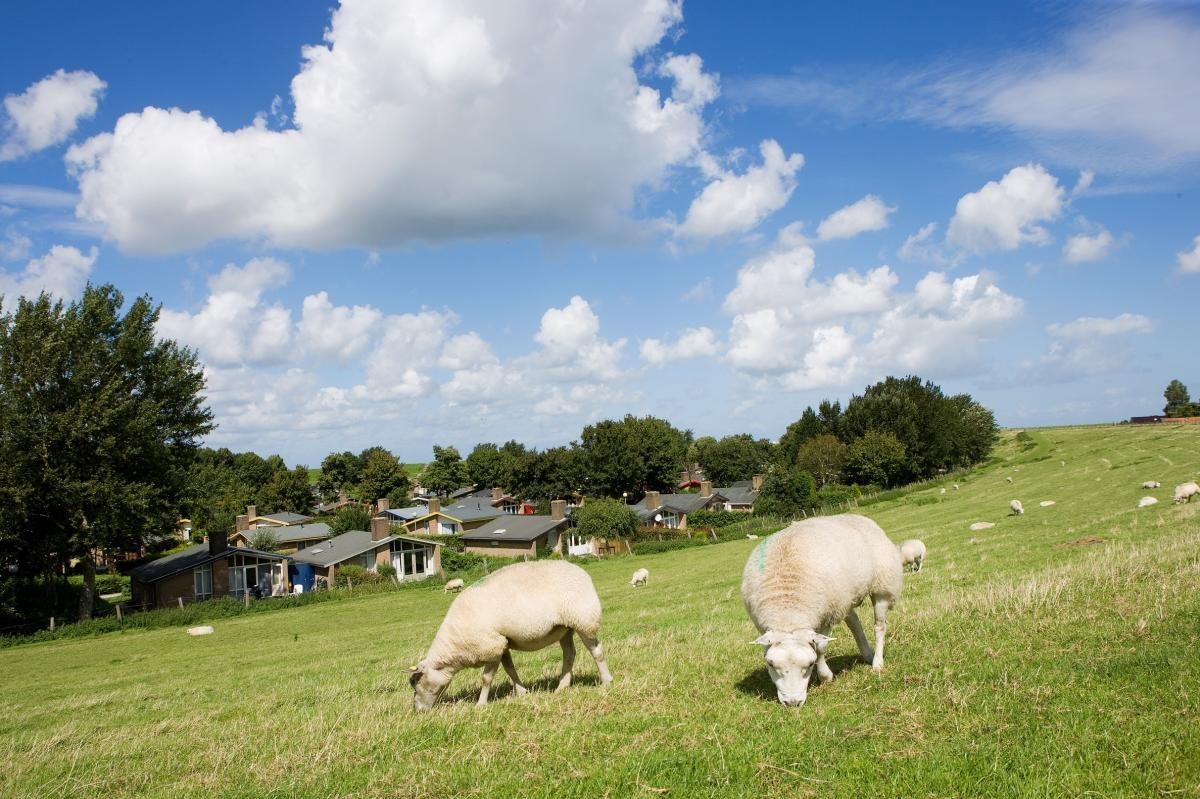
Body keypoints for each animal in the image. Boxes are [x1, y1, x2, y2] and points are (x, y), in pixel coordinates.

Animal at [410, 559, 614, 710]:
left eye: (417, 683)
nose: (418, 711)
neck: (455, 648)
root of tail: (582, 572)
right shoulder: (502, 642)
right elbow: (510, 669)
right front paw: (522, 692)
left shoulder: (491, 646)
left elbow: (486, 678)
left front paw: (480, 704)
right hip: (564, 628)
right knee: (569, 654)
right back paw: (562, 686)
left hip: (584, 620)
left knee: (596, 651)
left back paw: (606, 680)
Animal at [739, 511, 902, 705]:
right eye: (770, 664)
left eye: (810, 664)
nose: (792, 703)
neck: (788, 611)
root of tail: (858, 516)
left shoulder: (827, 615)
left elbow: (821, 648)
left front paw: (825, 677)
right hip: (844, 596)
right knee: (854, 623)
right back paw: (867, 655)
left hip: (882, 585)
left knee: (879, 626)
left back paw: (877, 662)